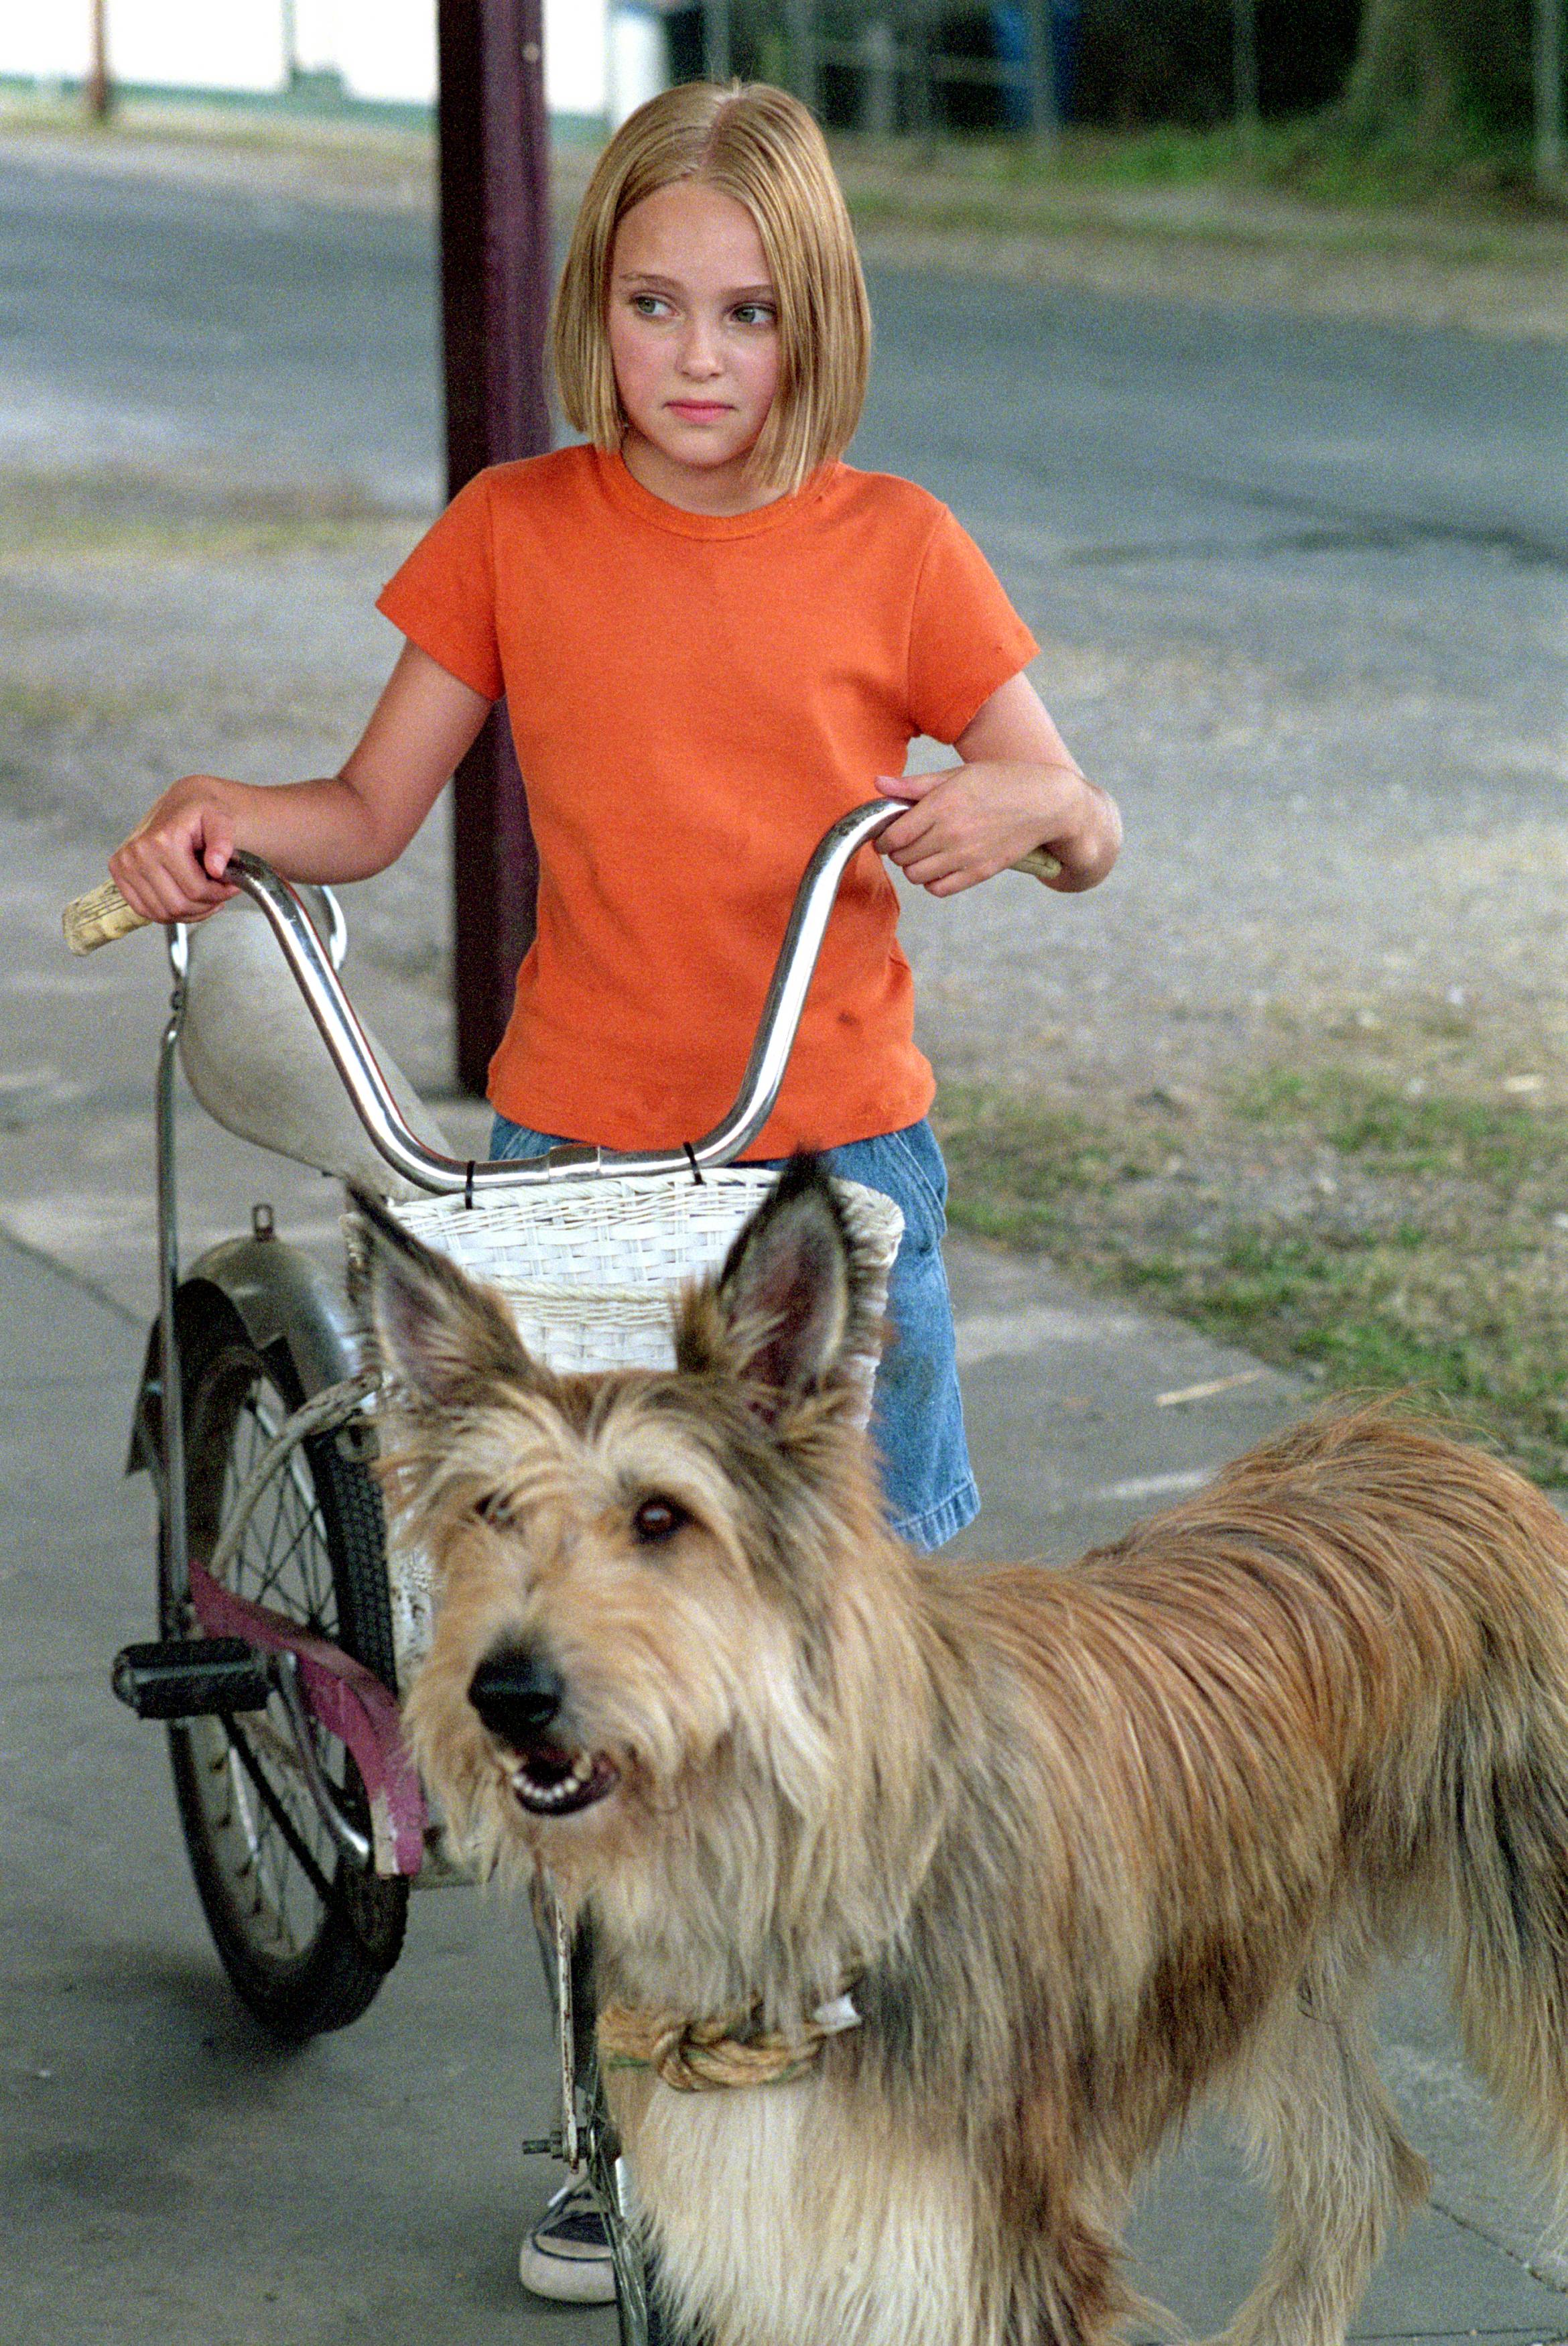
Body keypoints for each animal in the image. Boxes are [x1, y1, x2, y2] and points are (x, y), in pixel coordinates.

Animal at [354, 1159, 1568, 2346]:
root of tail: (1430, 1445)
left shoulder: (993, 2254)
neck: (783, 1866)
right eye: (490, 1510)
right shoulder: (782, 2245)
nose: (505, 1695)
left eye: (661, 1516)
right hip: (1272, 1965)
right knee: (1358, 2177)